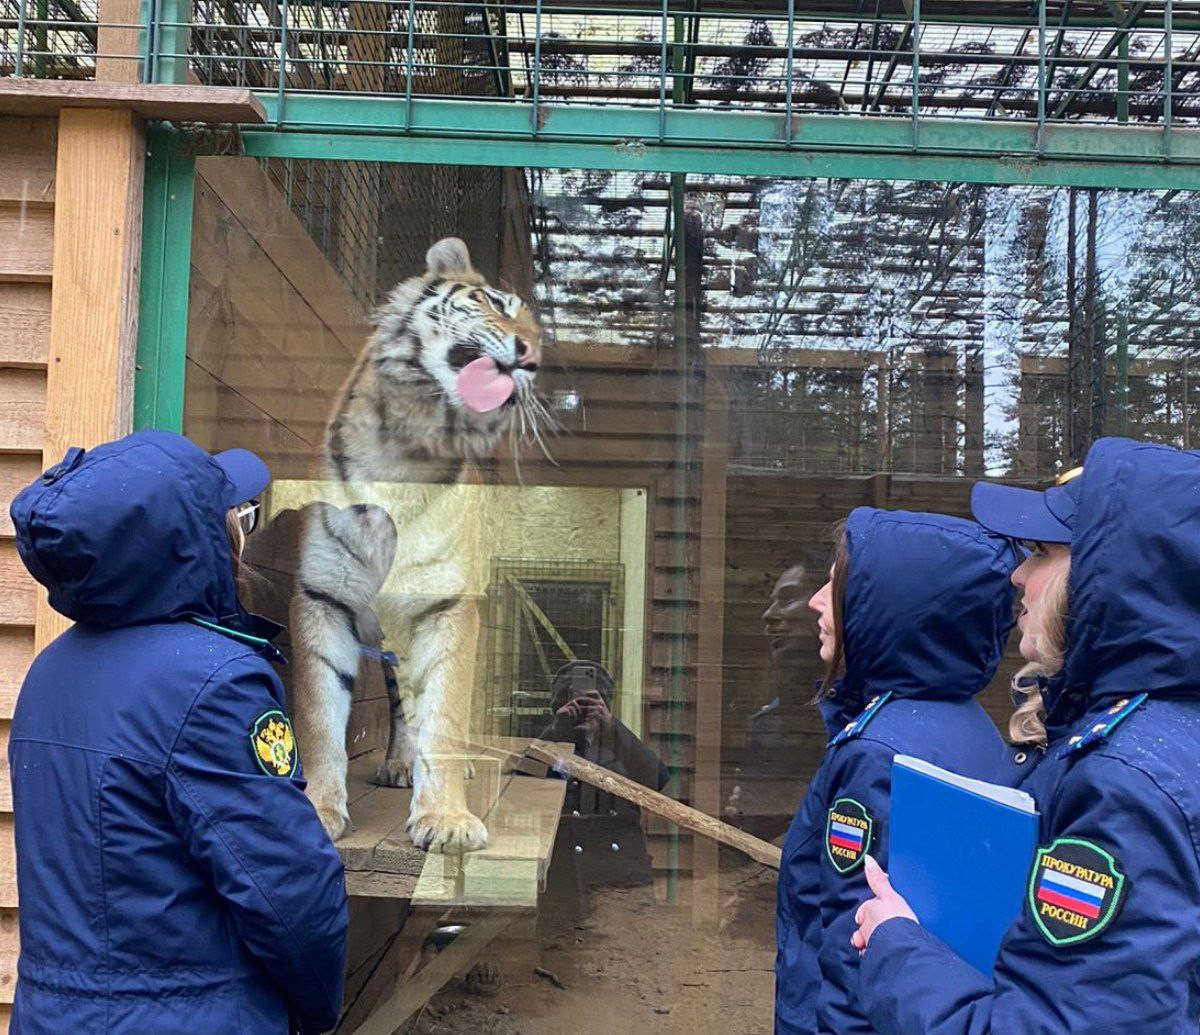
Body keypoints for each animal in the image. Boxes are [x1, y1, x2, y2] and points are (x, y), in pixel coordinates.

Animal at [292, 238, 547, 854]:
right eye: (495, 303)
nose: (533, 357)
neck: (405, 447)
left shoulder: (447, 605)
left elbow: (445, 712)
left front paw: (447, 819)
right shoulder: (323, 598)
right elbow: (318, 715)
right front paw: (318, 809)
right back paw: (399, 762)